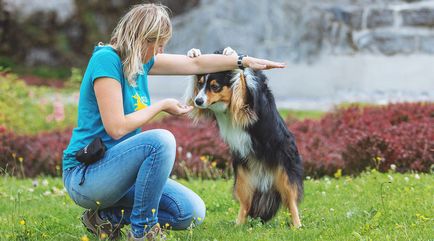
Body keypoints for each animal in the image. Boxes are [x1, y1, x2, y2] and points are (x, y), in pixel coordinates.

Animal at [185, 47, 304, 228]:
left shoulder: (248, 103)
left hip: (284, 172)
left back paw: (297, 226)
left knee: (291, 200)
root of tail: (264, 175)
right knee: (245, 203)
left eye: (215, 86)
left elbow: (242, 80)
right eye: (200, 84)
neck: (227, 102)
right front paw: (194, 53)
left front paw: (232, 56)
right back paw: (238, 225)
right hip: (243, 178)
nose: (198, 101)